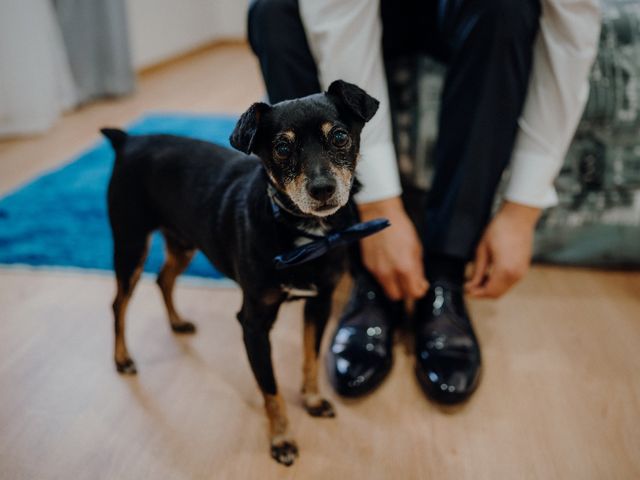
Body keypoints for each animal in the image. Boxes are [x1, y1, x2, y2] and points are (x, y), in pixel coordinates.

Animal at [101, 80, 380, 466]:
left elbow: (310, 359)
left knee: (163, 278)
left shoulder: (319, 304)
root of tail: (127, 141)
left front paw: (311, 400)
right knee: (119, 303)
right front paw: (281, 439)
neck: (303, 233)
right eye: (281, 148)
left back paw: (177, 322)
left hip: (183, 242)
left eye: (340, 136)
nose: (322, 189)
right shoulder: (253, 324)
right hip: (130, 245)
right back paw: (123, 359)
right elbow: (271, 389)